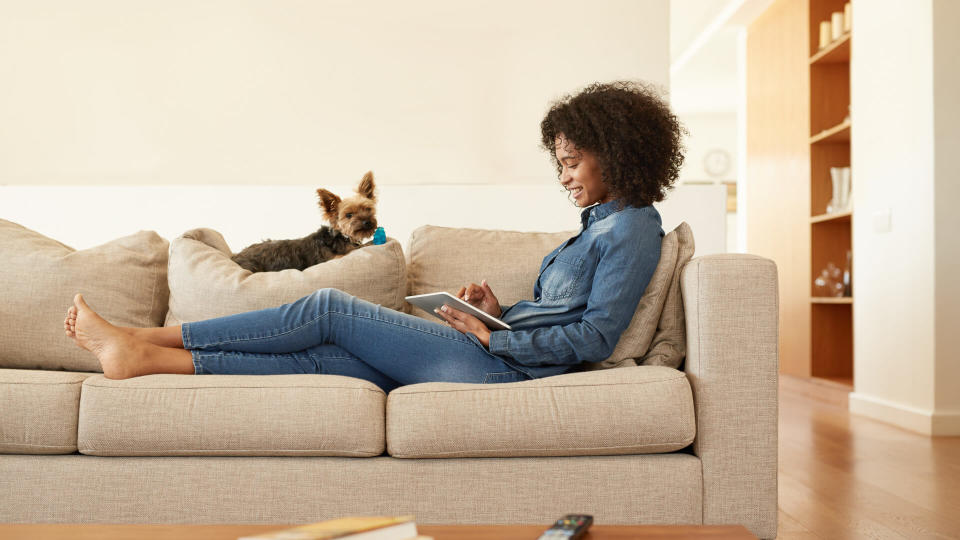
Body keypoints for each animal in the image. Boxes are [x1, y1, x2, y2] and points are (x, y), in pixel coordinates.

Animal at [232, 171, 378, 272]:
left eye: (368, 209)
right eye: (348, 215)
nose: (367, 222)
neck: (342, 236)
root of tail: (235, 256)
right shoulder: (336, 259)